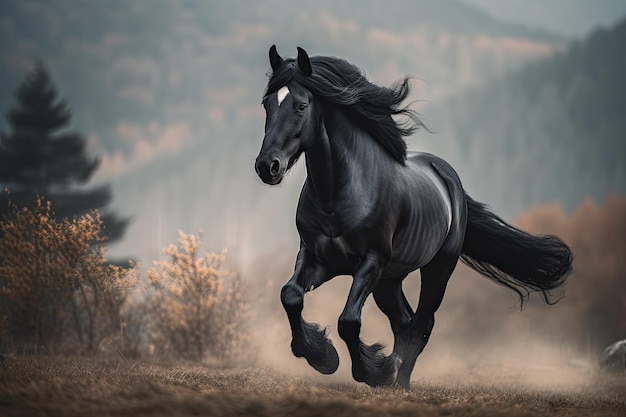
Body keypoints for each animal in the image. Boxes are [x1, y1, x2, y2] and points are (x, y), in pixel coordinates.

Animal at [254, 45, 572, 386]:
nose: (267, 166)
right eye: (266, 104)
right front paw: (321, 356)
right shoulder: (318, 258)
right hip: (389, 280)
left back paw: (400, 383)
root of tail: (449, 179)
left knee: (421, 325)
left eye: (301, 105)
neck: (338, 195)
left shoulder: (370, 262)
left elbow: (348, 321)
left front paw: (371, 371)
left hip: (436, 269)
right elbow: (290, 295)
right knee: (403, 322)